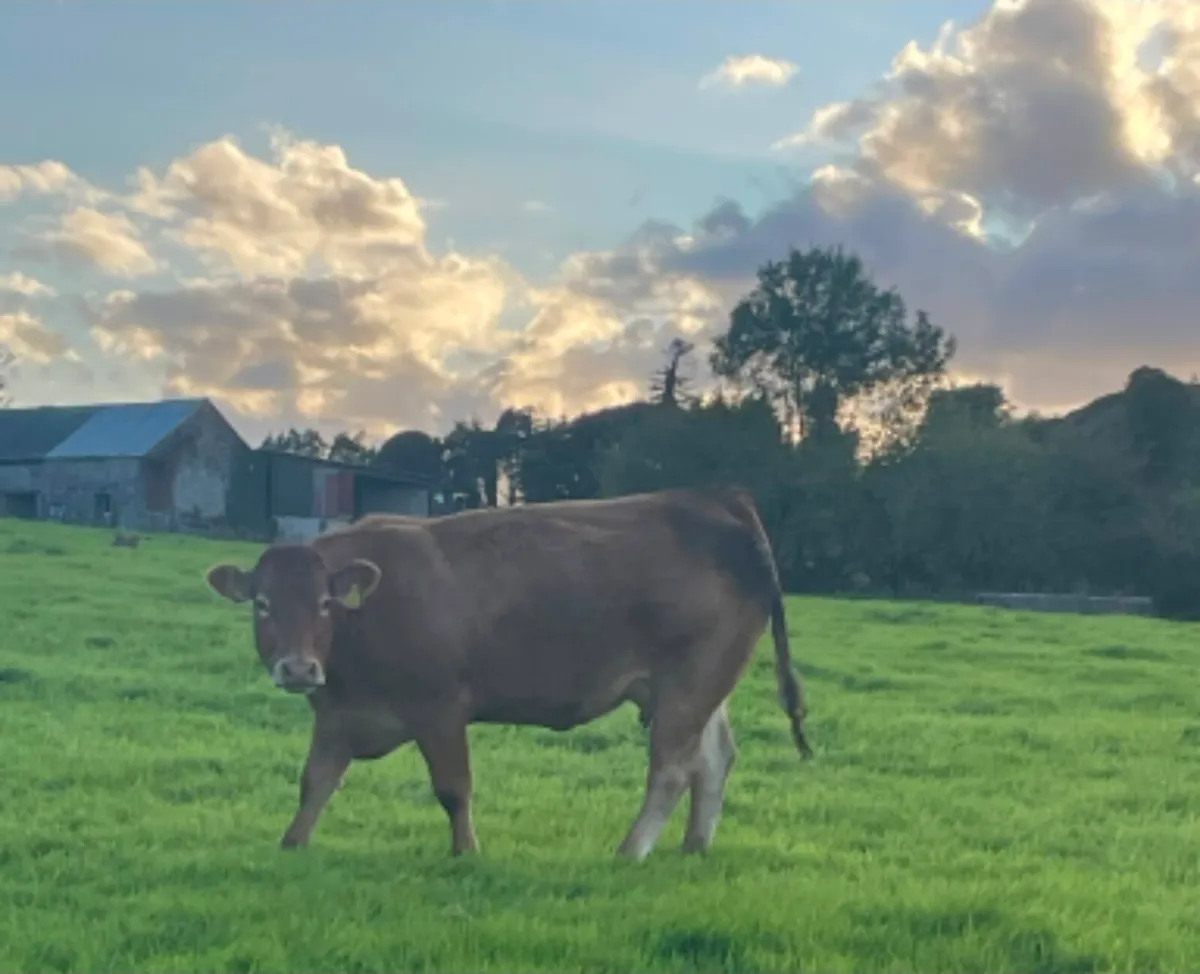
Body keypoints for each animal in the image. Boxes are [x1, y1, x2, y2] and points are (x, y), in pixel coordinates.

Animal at [204, 486, 812, 861]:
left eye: (326, 603)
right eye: (262, 604)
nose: (299, 667)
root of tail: (714, 498)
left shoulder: (440, 708)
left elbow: (453, 789)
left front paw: (466, 852)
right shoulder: (335, 715)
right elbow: (316, 782)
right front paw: (292, 844)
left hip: (688, 684)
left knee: (672, 770)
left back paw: (631, 851)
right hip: (698, 687)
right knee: (714, 760)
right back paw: (693, 847)